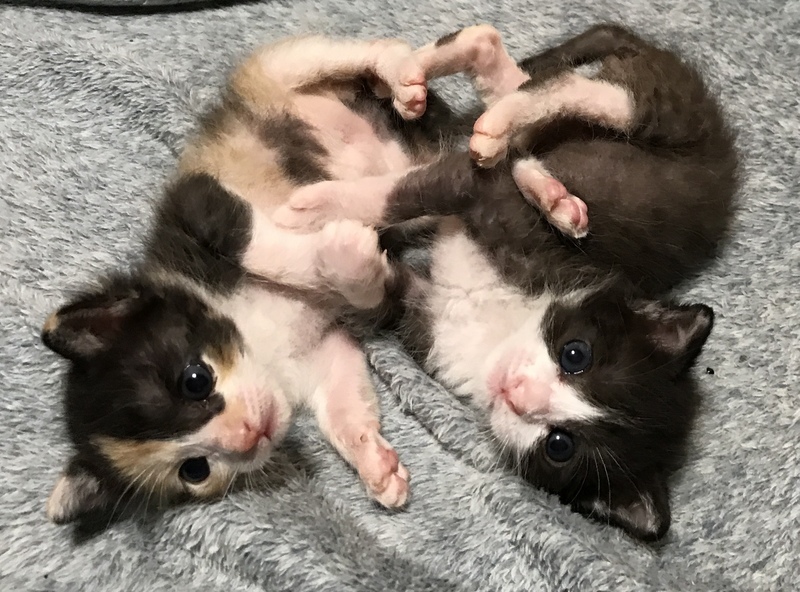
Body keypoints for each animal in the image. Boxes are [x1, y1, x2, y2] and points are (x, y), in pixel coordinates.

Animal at [274, 23, 739, 540]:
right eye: (576, 355)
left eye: (560, 445)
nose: (516, 393)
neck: (503, 323)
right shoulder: (491, 202)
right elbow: (407, 189)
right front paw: (309, 209)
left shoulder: (427, 324)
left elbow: (377, 292)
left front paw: (336, 246)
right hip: (667, 113)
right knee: (572, 91)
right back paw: (471, 114)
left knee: (510, 76)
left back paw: (536, 175)